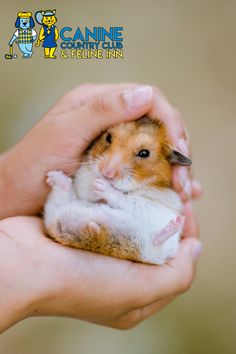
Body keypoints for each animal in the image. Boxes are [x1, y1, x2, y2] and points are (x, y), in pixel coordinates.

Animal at [43, 117, 192, 264]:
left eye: (144, 153)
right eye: (108, 137)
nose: (106, 173)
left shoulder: (156, 203)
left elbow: (127, 199)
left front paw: (101, 186)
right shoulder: (82, 179)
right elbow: (87, 189)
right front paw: (96, 183)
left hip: (160, 248)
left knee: (157, 243)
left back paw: (175, 224)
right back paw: (54, 177)